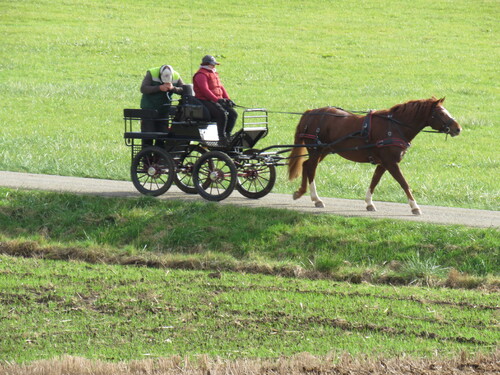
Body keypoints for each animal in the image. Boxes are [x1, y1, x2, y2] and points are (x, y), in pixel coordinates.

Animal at [288, 97, 462, 214]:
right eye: (441, 113)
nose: (458, 128)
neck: (394, 127)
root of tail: (310, 112)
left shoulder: (383, 163)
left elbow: (374, 181)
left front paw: (369, 203)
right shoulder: (391, 163)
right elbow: (403, 183)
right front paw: (415, 207)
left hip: (323, 150)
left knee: (306, 165)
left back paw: (301, 192)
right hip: (316, 149)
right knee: (311, 167)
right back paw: (315, 198)